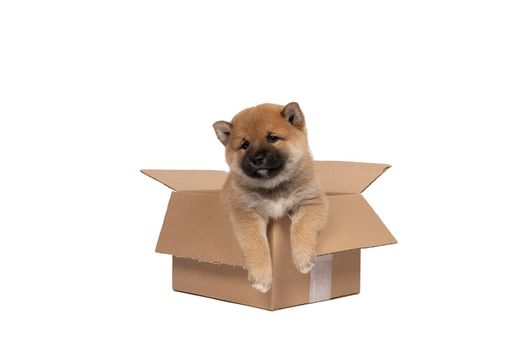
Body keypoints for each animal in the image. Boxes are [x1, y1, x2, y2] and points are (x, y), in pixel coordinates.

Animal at [213, 102, 328, 292]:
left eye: (272, 138)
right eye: (245, 145)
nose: (257, 159)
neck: (273, 185)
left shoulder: (310, 201)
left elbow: (301, 228)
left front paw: (303, 259)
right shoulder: (246, 214)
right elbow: (257, 244)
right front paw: (261, 277)